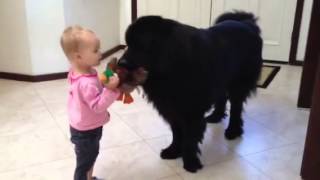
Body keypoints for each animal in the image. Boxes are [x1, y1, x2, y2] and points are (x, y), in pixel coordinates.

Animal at [117, 11, 262, 173]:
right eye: (128, 44)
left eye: (141, 45)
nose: (121, 63)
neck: (171, 63)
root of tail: (247, 23)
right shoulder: (171, 108)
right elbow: (177, 133)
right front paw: (173, 151)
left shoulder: (191, 111)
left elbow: (190, 138)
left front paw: (190, 162)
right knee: (222, 98)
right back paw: (216, 116)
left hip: (238, 84)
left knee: (236, 108)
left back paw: (233, 130)